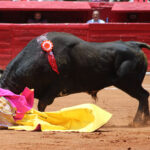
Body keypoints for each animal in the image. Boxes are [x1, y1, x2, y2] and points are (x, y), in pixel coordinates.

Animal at [0, 31, 150, 124]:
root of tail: (134, 44)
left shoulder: (54, 88)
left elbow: (41, 105)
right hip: (131, 83)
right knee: (145, 95)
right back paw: (145, 121)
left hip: (128, 83)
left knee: (142, 96)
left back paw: (137, 122)